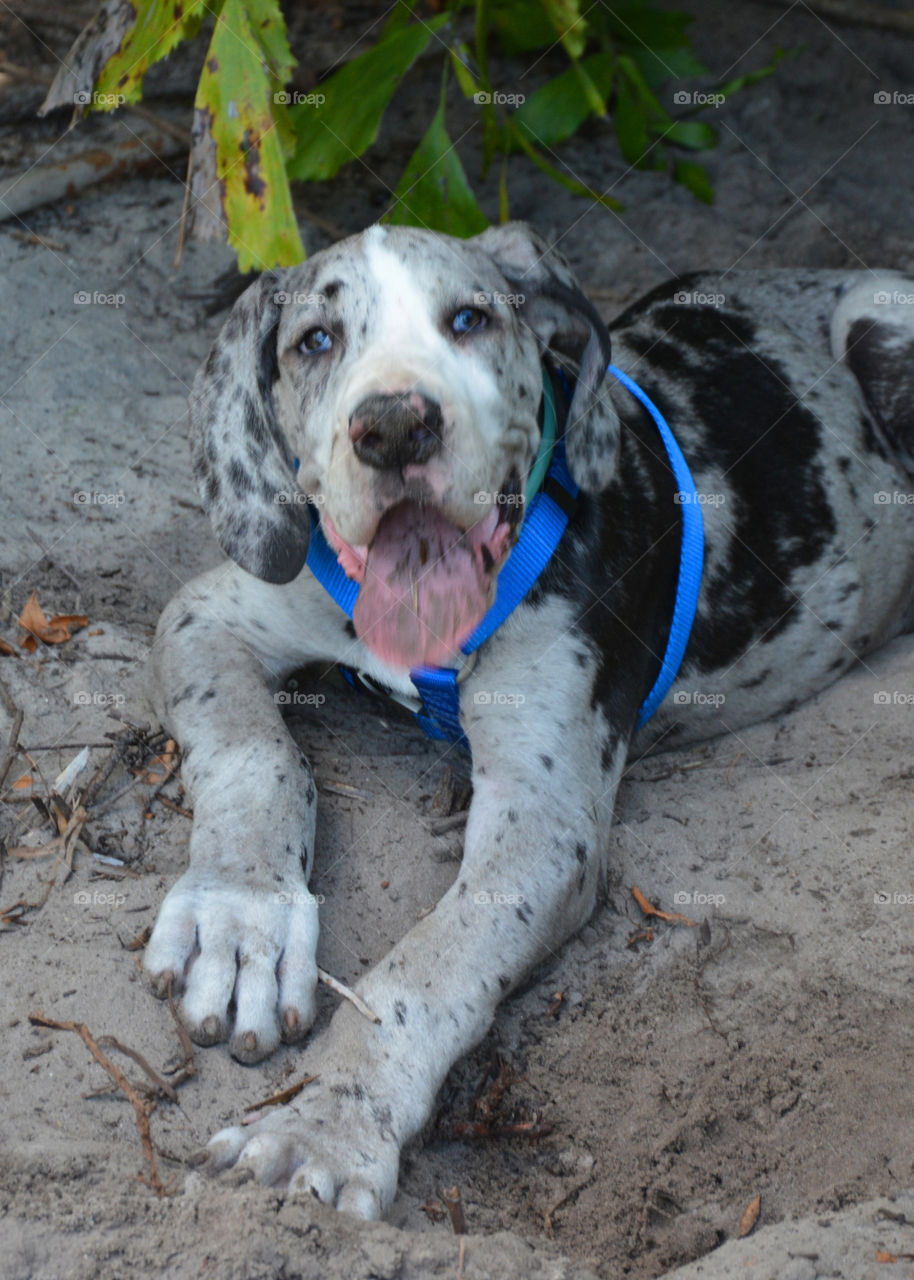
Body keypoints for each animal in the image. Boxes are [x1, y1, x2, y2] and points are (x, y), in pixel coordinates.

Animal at [145, 222, 911, 1218]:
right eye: (315, 341)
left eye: (469, 320)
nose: (395, 426)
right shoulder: (207, 616)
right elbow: (254, 755)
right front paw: (239, 920)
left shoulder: (545, 825)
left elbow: (426, 967)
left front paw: (324, 1123)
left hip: (883, 309)